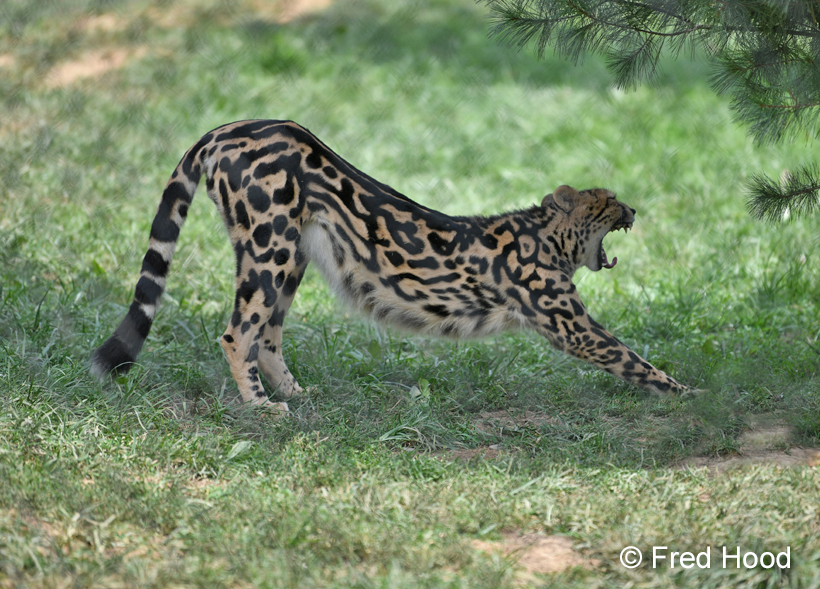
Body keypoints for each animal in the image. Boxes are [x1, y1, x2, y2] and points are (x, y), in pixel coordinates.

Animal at [91, 119, 691, 412]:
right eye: (607, 200)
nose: (633, 210)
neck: (543, 232)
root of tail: (224, 129)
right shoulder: (568, 324)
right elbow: (633, 359)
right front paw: (691, 396)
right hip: (269, 246)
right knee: (239, 332)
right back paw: (260, 407)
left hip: (294, 254)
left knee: (268, 334)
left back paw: (296, 395)